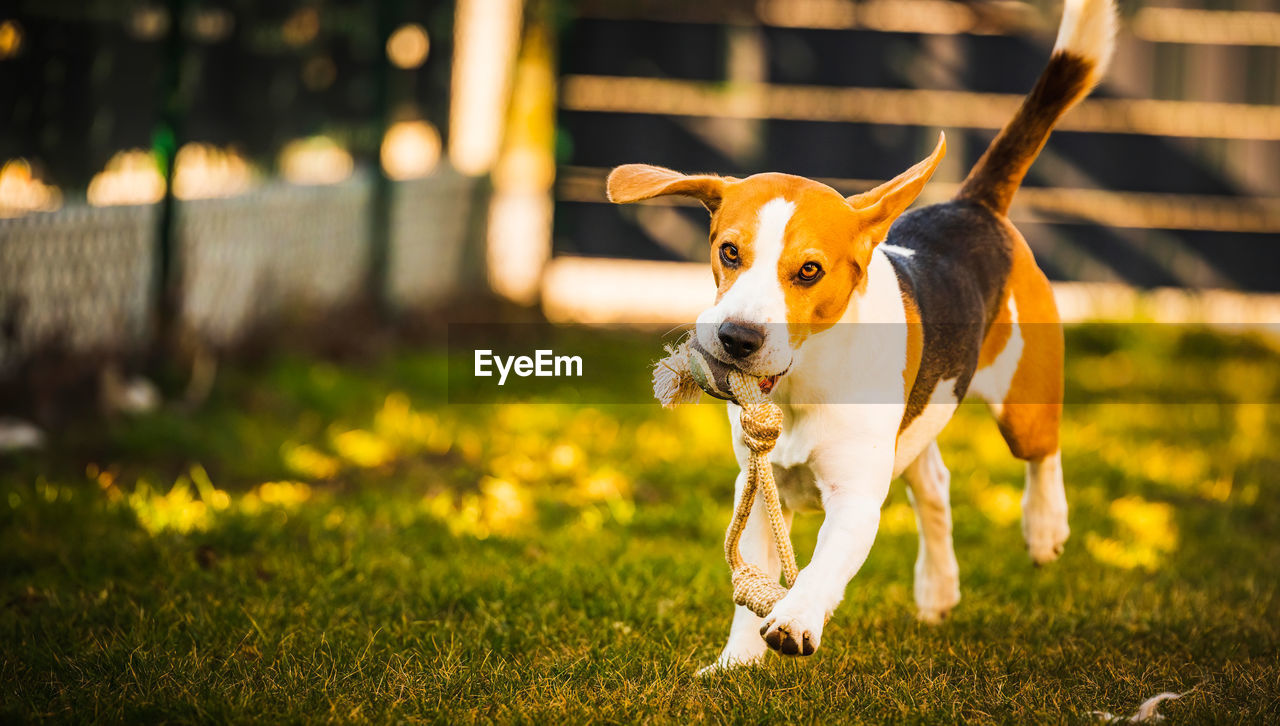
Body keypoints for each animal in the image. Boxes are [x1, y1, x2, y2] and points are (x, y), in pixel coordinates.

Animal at [604, 0, 1116, 670]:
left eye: (809, 270)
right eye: (729, 251)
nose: (737, 338)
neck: (800, 385)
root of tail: (973, 205)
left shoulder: (853, 498)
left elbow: (822, 567)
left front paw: (796, 618)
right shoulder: (759, 487)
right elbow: (750, 586)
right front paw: (735, 664)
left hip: (1022, 402)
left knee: (1042, 451)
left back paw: (1045, 526)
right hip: (920, 416)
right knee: (935, 483)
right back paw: (938, 588)